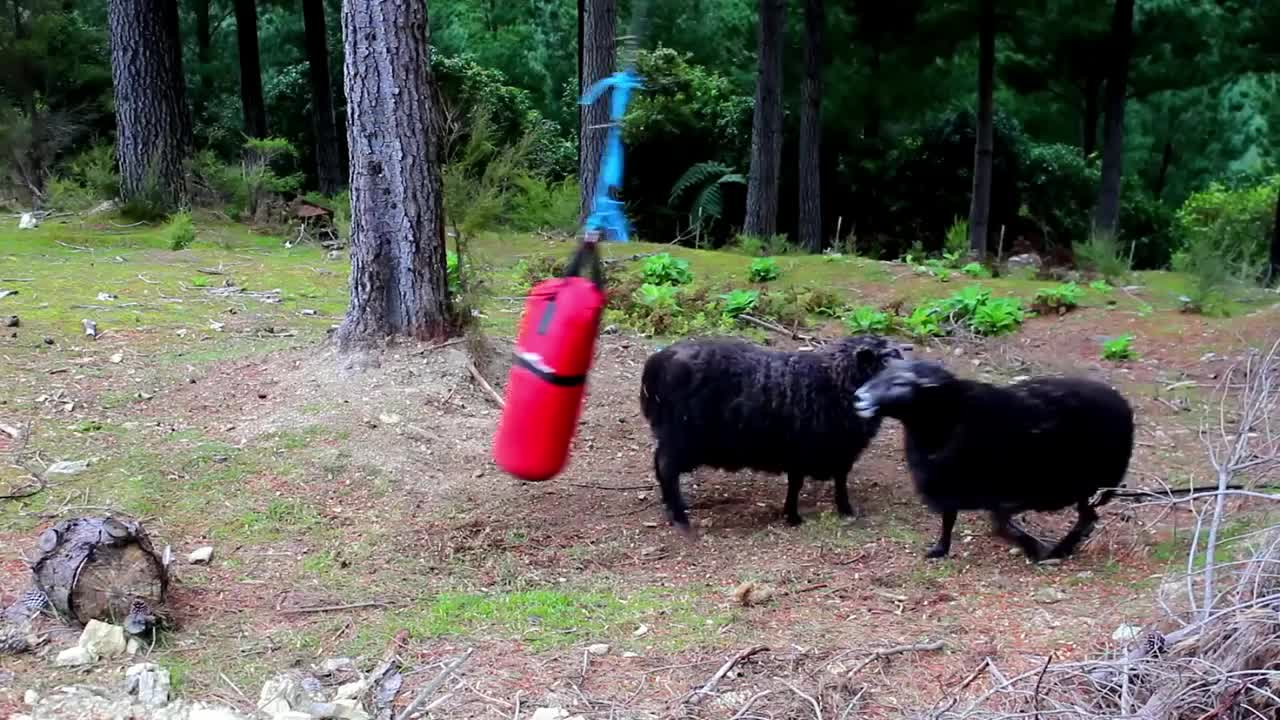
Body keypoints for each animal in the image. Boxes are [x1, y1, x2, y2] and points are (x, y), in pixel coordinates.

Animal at [640, 333, 911, 530]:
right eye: (883, 361)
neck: (835, 380)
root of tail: (658, 362)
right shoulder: (801, 450)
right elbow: (797, 485)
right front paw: (793, 517)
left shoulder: (839, 452)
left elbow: (839, 481)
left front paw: (845, 509)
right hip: (681, 436)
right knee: (666, 467)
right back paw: (679, 516)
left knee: (660, 465)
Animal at [855, 358, 1136, 561]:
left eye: (900, 383)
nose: (859, 397)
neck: (949, 419)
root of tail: (1122, 402)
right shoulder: (949, 488)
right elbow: (949, 520)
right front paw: (940, 550)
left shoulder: (1011, 493)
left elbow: (999, 524)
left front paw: (1034, 549)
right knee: (1088, 518)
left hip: (1089, 482)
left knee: (1087, 518)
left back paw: (1060, 551)